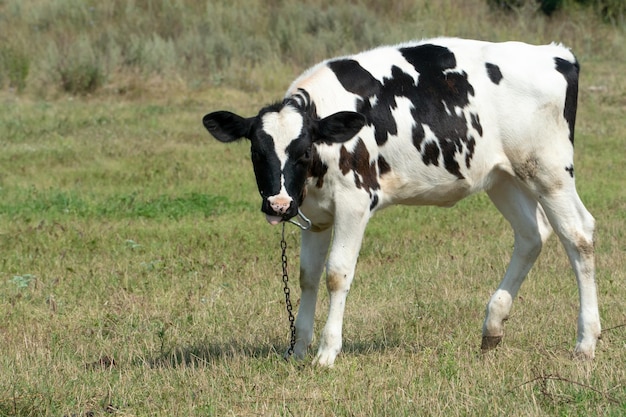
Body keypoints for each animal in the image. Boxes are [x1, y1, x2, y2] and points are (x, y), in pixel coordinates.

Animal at [202, 37, 596, 366]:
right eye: (256, 152)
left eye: (303, 151)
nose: (280, 205)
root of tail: (555, 53)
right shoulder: (316, 215)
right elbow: (307, 277)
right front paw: (298, 349)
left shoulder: (354, 203)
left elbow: (336, 274)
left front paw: (327, 352)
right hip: (503, 176)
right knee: (532, 235)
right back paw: (493, 326)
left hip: (549, 170)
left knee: (578, 235)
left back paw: (586, 342)